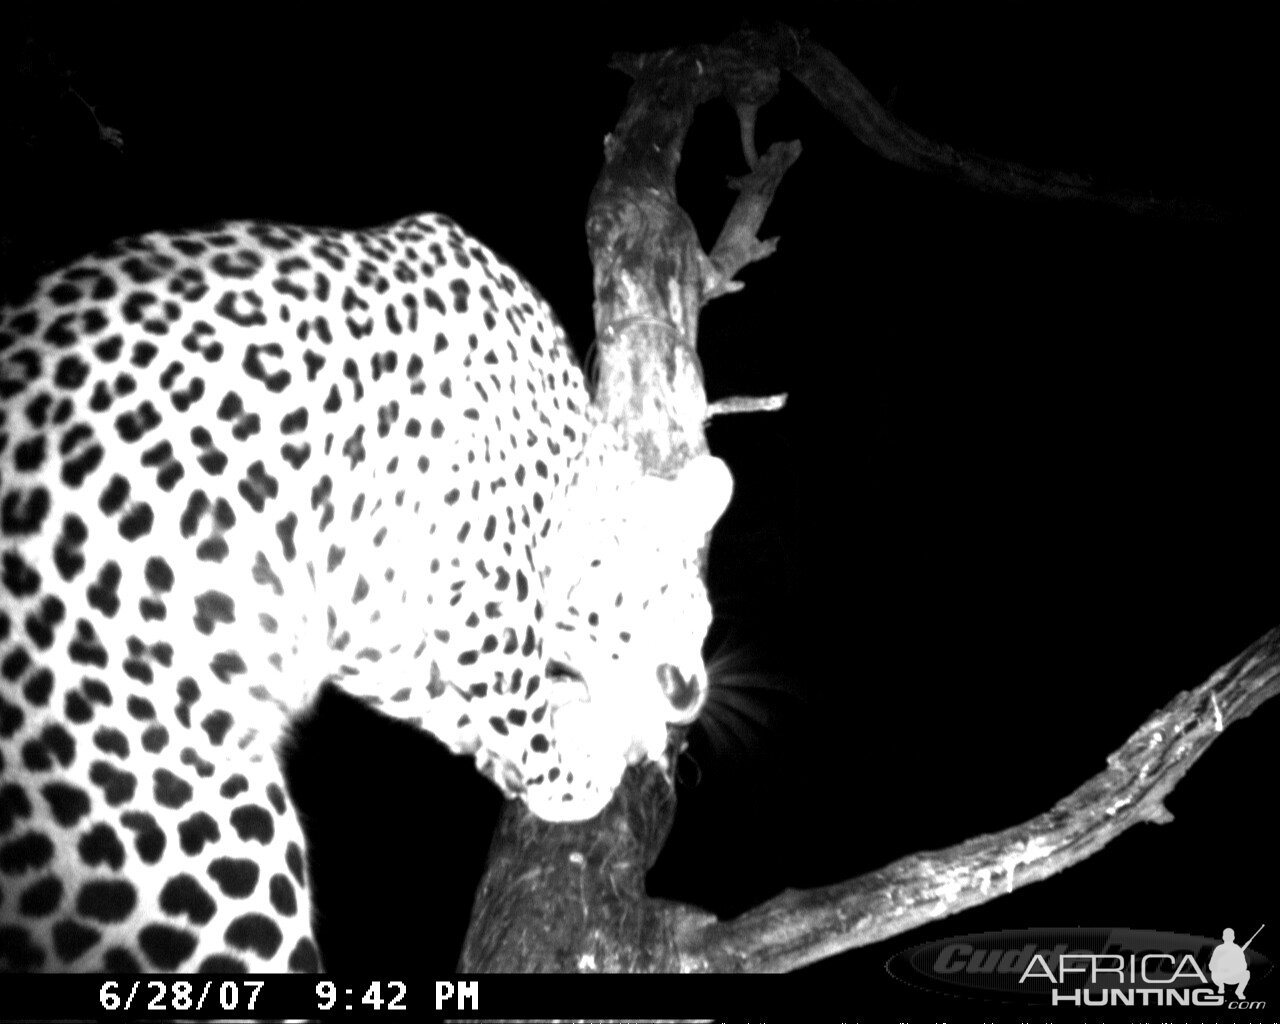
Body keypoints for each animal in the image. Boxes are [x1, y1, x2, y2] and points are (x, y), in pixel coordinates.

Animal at [0, 212, 732, 972]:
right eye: (685, 604)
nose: (690, 693)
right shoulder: (482, 581)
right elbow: (513, 699)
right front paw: (567, 780)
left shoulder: (372, 619)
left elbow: (437, 692)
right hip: (210, 838)